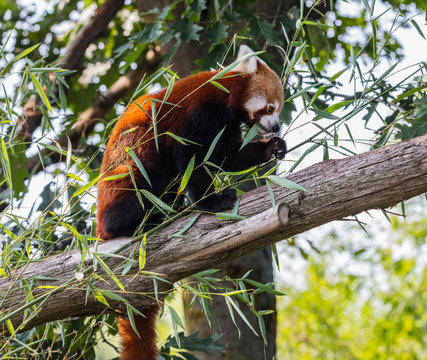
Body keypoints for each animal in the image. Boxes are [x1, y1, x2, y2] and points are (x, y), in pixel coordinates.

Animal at [95, 45, 286, 360]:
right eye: (270, 108)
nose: (277, 126)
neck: (224, 96)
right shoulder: (198, 114)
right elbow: (192, 159)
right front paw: (213, 201)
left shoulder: (225, 127)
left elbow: (225, 156)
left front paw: (272, 147)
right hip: (131, 173)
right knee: (144, 186)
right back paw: (145, 219)